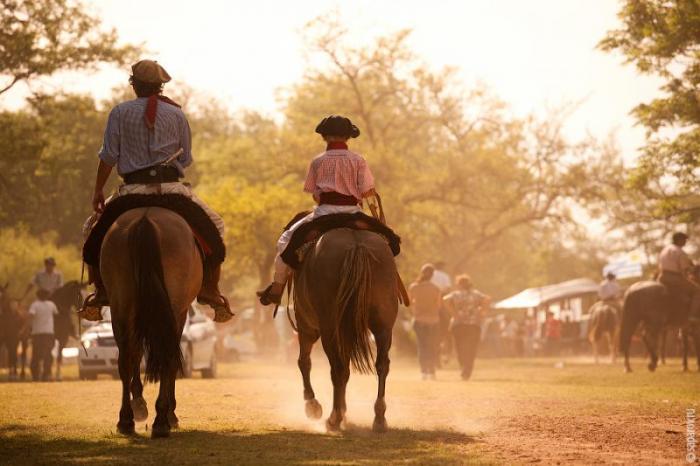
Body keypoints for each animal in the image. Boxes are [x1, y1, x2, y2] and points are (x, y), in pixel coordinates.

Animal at [102, 208, 204, 436]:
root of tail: (145, 219)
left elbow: (136, 354)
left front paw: (140, 404)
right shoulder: (180, 313)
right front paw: (169, 412)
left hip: (121, 303)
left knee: (126, 357)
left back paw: (126, 420)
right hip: (170, 307)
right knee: (165, 356)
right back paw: (162, 421)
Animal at [292, 229, 400, 434]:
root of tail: (357, 245)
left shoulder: (306, 326)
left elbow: (304, 361)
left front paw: (313, 406)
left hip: (329, 329)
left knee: (337, 368)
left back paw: (334, 418)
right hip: (383, 326)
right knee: (382, 365)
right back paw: (379, 418)